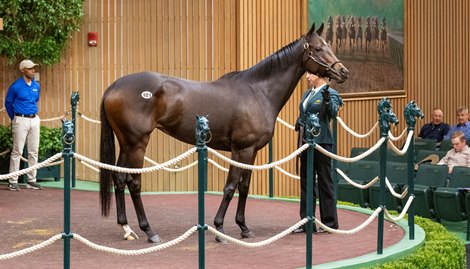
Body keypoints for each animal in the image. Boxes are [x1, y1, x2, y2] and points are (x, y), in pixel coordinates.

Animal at [99, 22, 348, 241]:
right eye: (318, 48)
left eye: (328, 46)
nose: (343, 71)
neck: (258, 91)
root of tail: (114, 86)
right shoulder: (241, 150)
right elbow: (230, 187)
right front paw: (219, 229)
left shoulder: (251, 152)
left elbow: (244, 187)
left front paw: (244, 228)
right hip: (137, 144)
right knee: (133, 182)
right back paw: (149, 231)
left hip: (127, 143)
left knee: (118, 177)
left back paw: (127, 229)